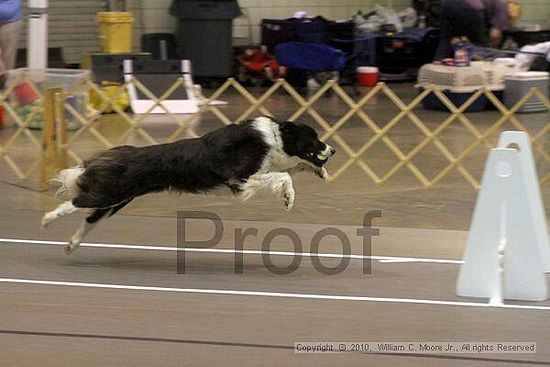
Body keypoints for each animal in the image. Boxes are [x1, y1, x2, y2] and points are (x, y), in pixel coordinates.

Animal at [42, 118, 336, 256]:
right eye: (313, 138)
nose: (332, 150)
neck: (275, 136)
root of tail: (122, 154)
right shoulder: (240, 179)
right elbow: (283, 176)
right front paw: (289, 197)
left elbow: (292, 167)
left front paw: (319, 172)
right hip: (111, 193)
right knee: (75, 202)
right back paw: (47, 219)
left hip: (115, 199)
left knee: (90, 218)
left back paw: (71, 245)